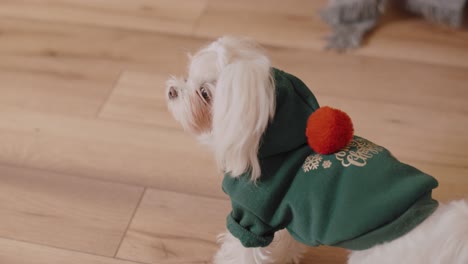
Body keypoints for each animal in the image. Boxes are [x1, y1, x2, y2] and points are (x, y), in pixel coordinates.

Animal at [165, 36, 468, 262]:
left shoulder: (253, 216)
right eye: (188, 77)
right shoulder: (286, 215)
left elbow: (242, 250)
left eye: (205, 93)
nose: (171, 90)